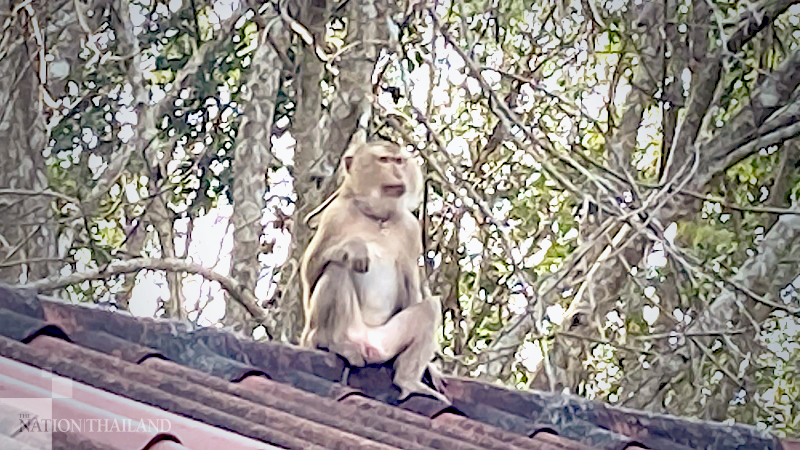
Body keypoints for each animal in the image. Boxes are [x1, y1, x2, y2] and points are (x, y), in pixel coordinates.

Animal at [300, 141, 448, 403]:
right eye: (384, 160)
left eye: (399, 161)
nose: (397, 173)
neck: (377, 217)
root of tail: (367, 344)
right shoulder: (334, 215)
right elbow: (311, 274)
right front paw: (354, 247)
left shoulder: (410, 230)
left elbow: (412, 290)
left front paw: (431, 369)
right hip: (349, 328)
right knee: (336, 268)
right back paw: (329, 341)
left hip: (384, 343)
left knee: (430, 308)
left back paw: (408, 381)